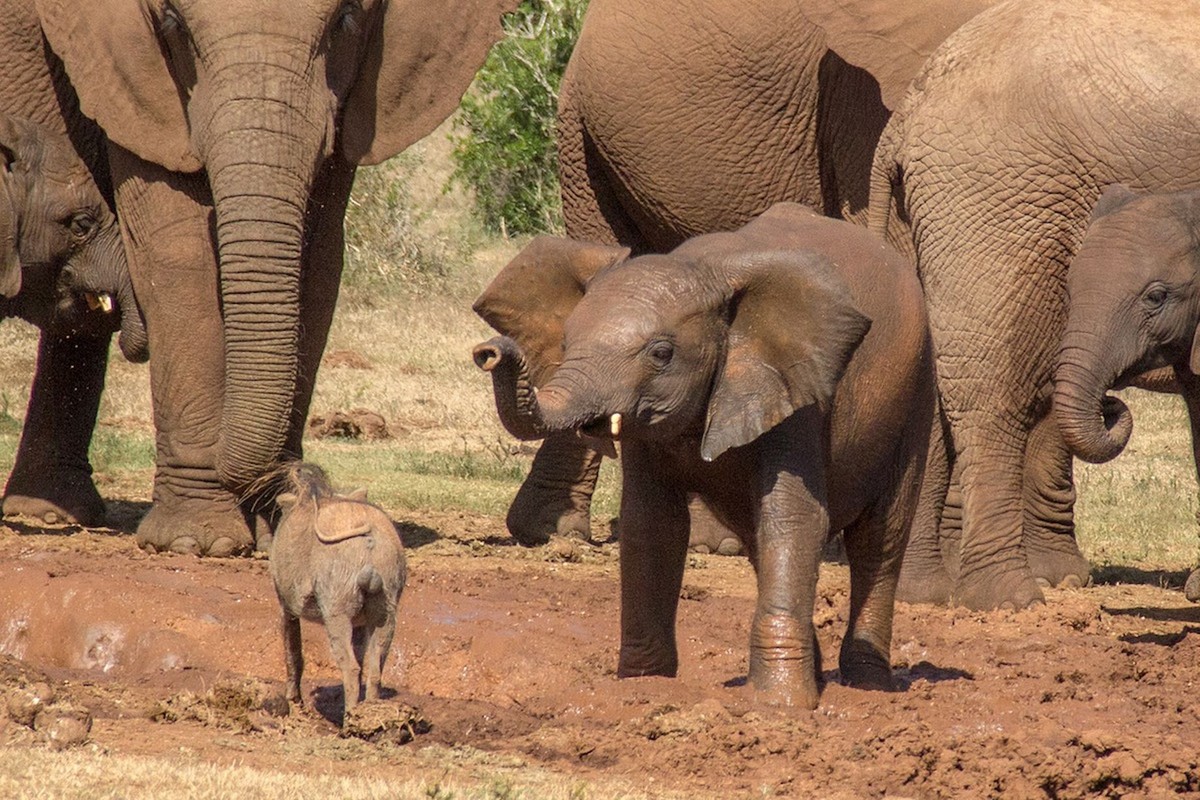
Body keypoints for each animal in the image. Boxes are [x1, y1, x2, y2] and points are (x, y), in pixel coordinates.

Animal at [3, 0, 520, 556]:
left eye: (347, 18)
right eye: (172, 23)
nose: (300, 480)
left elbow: (317, 260)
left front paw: (279, 526)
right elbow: (176, 247)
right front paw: (197, 542)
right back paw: (47, 513)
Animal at [268, 465, 408, 714]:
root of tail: (368, 546)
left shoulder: (285, 605)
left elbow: (292, 650)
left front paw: (294, 702)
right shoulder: (361, 621)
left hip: (336, 611)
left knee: (350, 667)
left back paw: (350, 717)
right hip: (386, 610)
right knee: (375, 667)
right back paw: (369, 712)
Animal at [472, 203, 931, 710]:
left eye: (661, 353)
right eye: (567, 344)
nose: (488, 352)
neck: (706, 274)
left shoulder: (797, 390)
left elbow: (794, 517)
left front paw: (780, 705)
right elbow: (652, 523)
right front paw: (644, 685)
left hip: (915, 391)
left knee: (880, 539)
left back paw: (868, 684)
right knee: (759, 540)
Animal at [868, 0, 1200, 609]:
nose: (1113, 405)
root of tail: (907, 114)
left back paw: (926, 592)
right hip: (997, 199)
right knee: (990, 389)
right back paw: (1008, 598)